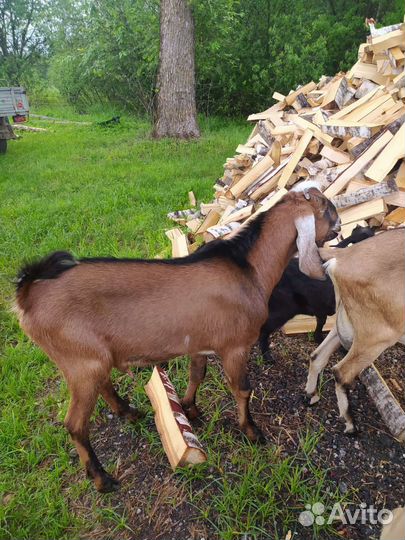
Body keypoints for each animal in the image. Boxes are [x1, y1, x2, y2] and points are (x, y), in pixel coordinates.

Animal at [14, 187, 340, 494]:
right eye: (325, 208)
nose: (338, 228)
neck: (248, 268)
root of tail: (29, 296)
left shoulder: (198, 343)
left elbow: (198, 374)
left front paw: (189, 409)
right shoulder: (235, 347)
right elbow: (242, 389)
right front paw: (251, 431)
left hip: (91, 360)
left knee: (103, 386)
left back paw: (130, 413)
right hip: (81, 361)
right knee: (75, 425)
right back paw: (101, 479)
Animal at [258, 226, 376, 360]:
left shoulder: (321, 309)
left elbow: (322, 324)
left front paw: (318, 338)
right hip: (281, 312)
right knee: (263, 331)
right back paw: (267, 356)